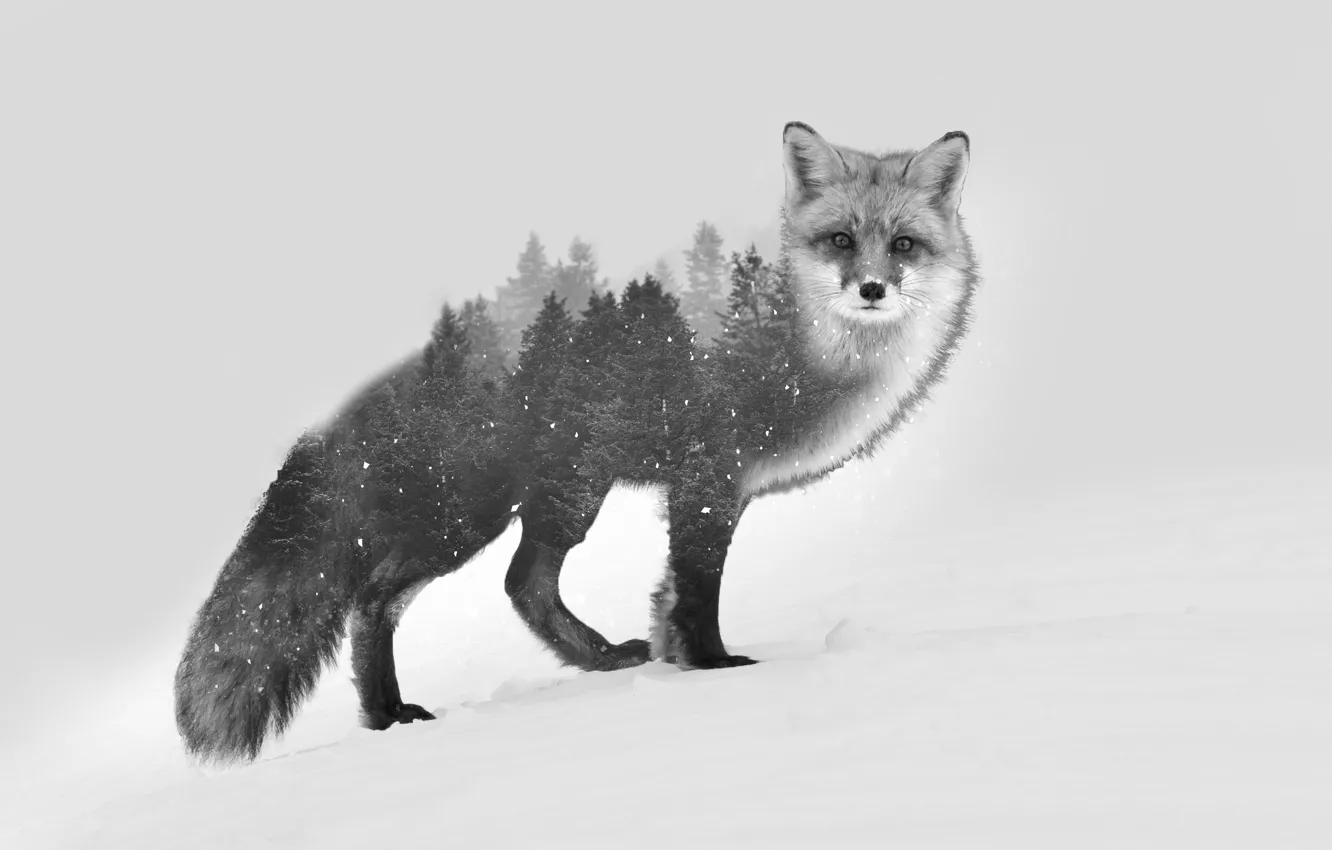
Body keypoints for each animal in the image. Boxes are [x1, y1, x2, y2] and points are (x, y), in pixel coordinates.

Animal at [174, 122, 979, 764]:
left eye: (903, 245)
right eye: (840, 240)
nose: (872, 289)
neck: (803, 349)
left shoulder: (717, 491)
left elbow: (667, 597)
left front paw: (675, 664)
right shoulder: (708, 476)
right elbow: (698, 592)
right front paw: (717, 672)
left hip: (565, 492)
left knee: (522, 586)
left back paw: (598, 661)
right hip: (468, 514)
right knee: (376, 602)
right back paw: (387, 716)